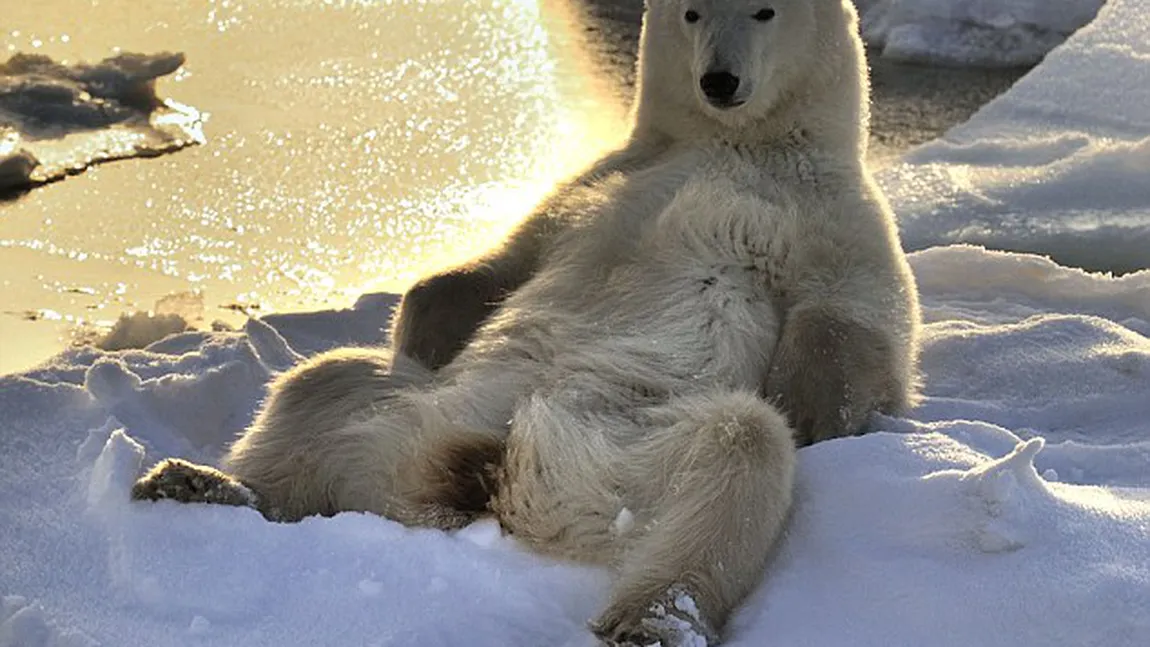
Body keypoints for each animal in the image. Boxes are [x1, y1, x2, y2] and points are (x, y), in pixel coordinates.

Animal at [134, 1, 920, 647]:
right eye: (693, 12)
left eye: (763, 10)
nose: (718, 81)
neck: (736, 145)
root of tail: (491, 481)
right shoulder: (603, 176)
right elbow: (507, 260)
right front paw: (425, 321)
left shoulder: (831, 210)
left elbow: (859, 319)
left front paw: (812, 410)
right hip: (423, 412)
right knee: (322, 383)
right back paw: (199, 484)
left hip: (625, 453)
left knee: (738, 448)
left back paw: (655, 620)